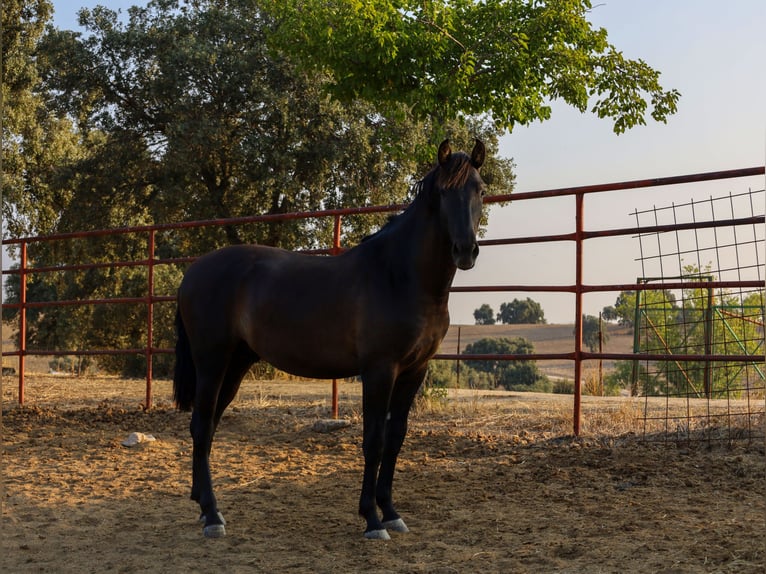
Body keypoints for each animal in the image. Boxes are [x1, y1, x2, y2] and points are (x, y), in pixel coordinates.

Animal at [174, 140, 486, 540]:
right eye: (444, 192)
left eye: (479, 189)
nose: (465, 250)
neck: (399, 276)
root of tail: (193, 271)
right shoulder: (379, 370)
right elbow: (374, 441)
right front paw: (372, 519)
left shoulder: (415, 371)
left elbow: (396, 438)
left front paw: (391, 512)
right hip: (211, 360)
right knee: (201, 426)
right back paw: (213, 516)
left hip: (236, 363)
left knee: (208, 425)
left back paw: (202, 505)